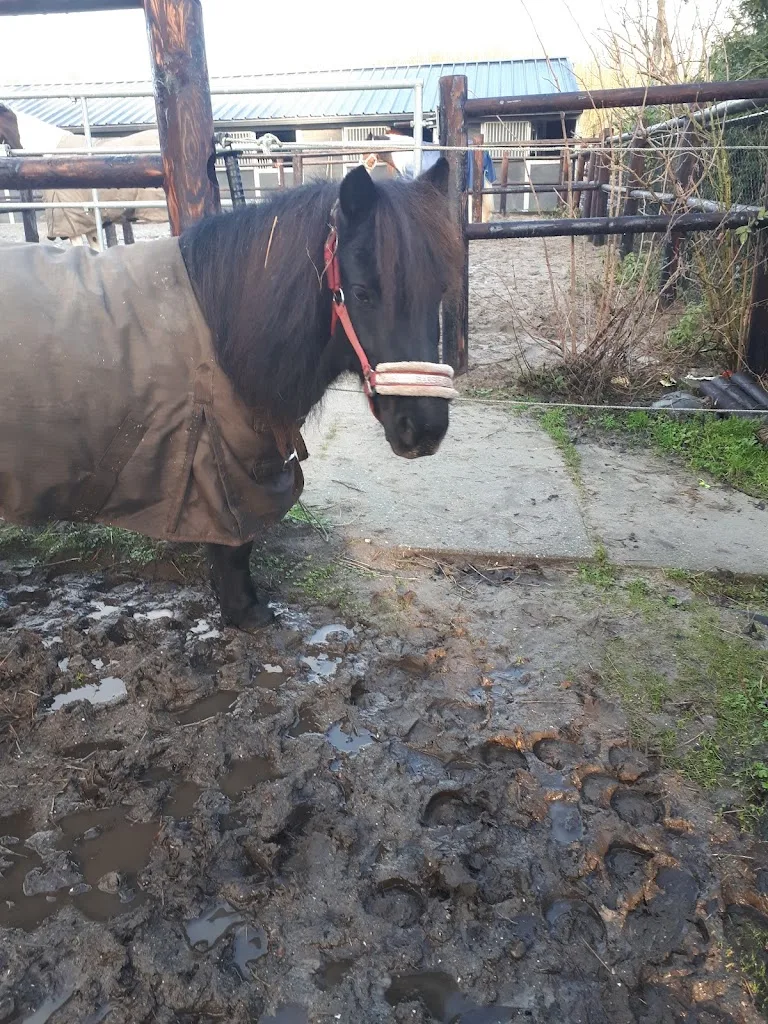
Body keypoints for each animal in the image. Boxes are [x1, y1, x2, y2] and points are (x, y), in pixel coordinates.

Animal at [0, 159, 462, 630]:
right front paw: (247, 613)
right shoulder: (222, 473)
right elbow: (237, 547)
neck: (220, 329)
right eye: (363, 293)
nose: (425, 429)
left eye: (440, 290)